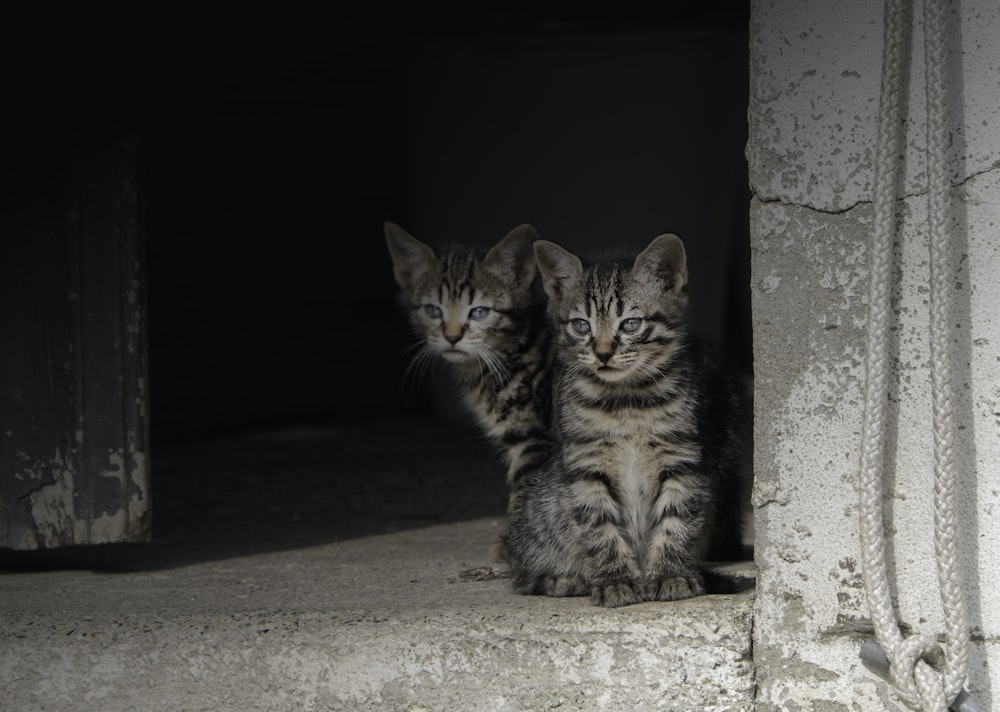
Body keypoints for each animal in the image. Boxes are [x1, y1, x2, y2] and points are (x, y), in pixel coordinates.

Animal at [504, 232, 748, 608]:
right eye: (581, 325)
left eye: (631, 324)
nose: (603, 353)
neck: (626, 403)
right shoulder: (586, 466)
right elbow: (599, 525)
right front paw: (616, 581)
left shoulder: (682, 457)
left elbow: (676, 518)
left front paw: (670, 575)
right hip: (536, 507)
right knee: (523, 571)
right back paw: (563, 578)